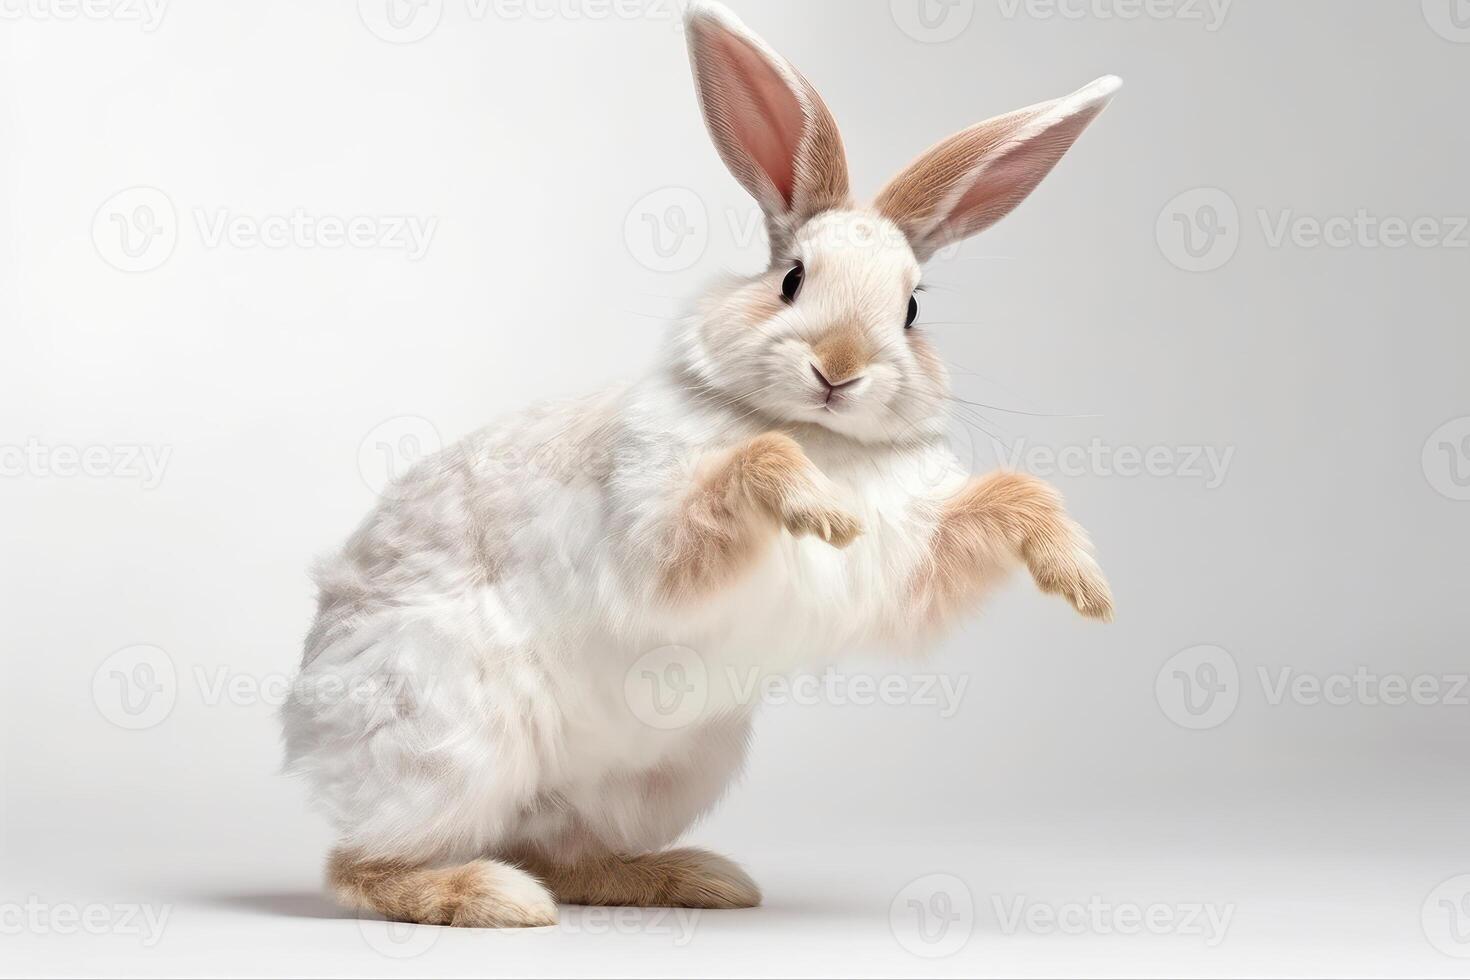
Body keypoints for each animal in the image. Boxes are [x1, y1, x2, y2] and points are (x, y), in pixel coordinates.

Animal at [280, 0, 1117, 934]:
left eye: (910, 309)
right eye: (791, 280)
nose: (839, 366)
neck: (817, 431)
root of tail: (307, 722)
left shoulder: (914, 556)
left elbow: (1012, 494)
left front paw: (1083, 583)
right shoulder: (656, 536)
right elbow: (753, 464)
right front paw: (823, 510)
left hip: (666, 772)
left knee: (565, 852)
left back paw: (696, 879)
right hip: (449, 743)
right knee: (363, 865)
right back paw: (495, 898)